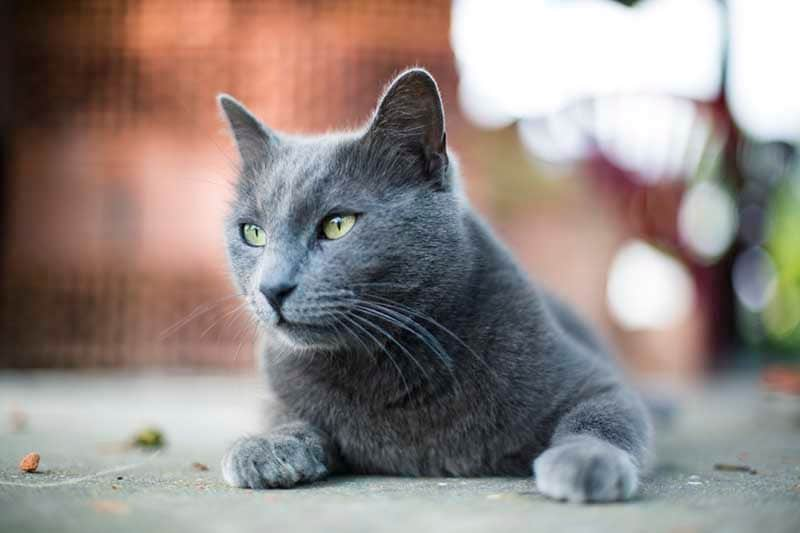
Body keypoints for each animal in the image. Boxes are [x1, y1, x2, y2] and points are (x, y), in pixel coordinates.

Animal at [217, 68, 648, 500]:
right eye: (253, 233)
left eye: (337, 224)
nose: (272, 288)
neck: (385, 364)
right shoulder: (280, 384)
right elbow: (284, 414)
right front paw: (267, 447)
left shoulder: (596, 380)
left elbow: (601, 418)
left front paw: (587, 460)